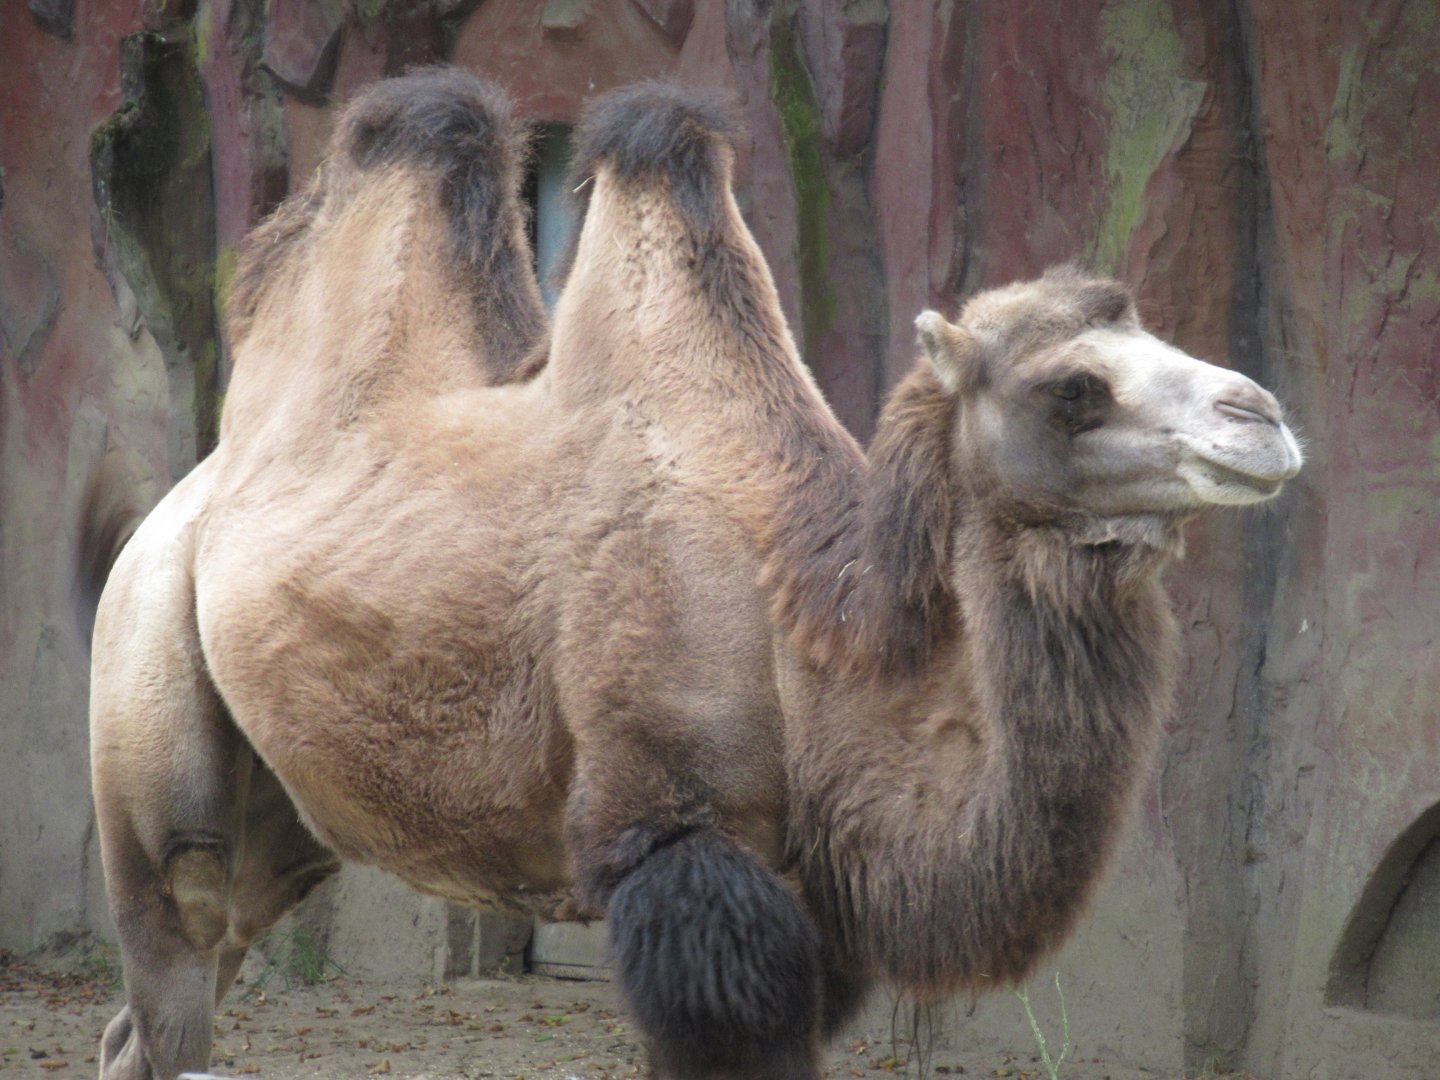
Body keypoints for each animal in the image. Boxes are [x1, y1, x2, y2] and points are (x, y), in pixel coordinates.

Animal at [88, 69, 1303, 1080]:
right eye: (1073, 391)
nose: (1265, 417)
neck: (808, 642)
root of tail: (177, 505)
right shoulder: (675, 842)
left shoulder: (810, 914)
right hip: (146, 684)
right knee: (176, 931)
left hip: (284, 818)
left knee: (148, 1016)